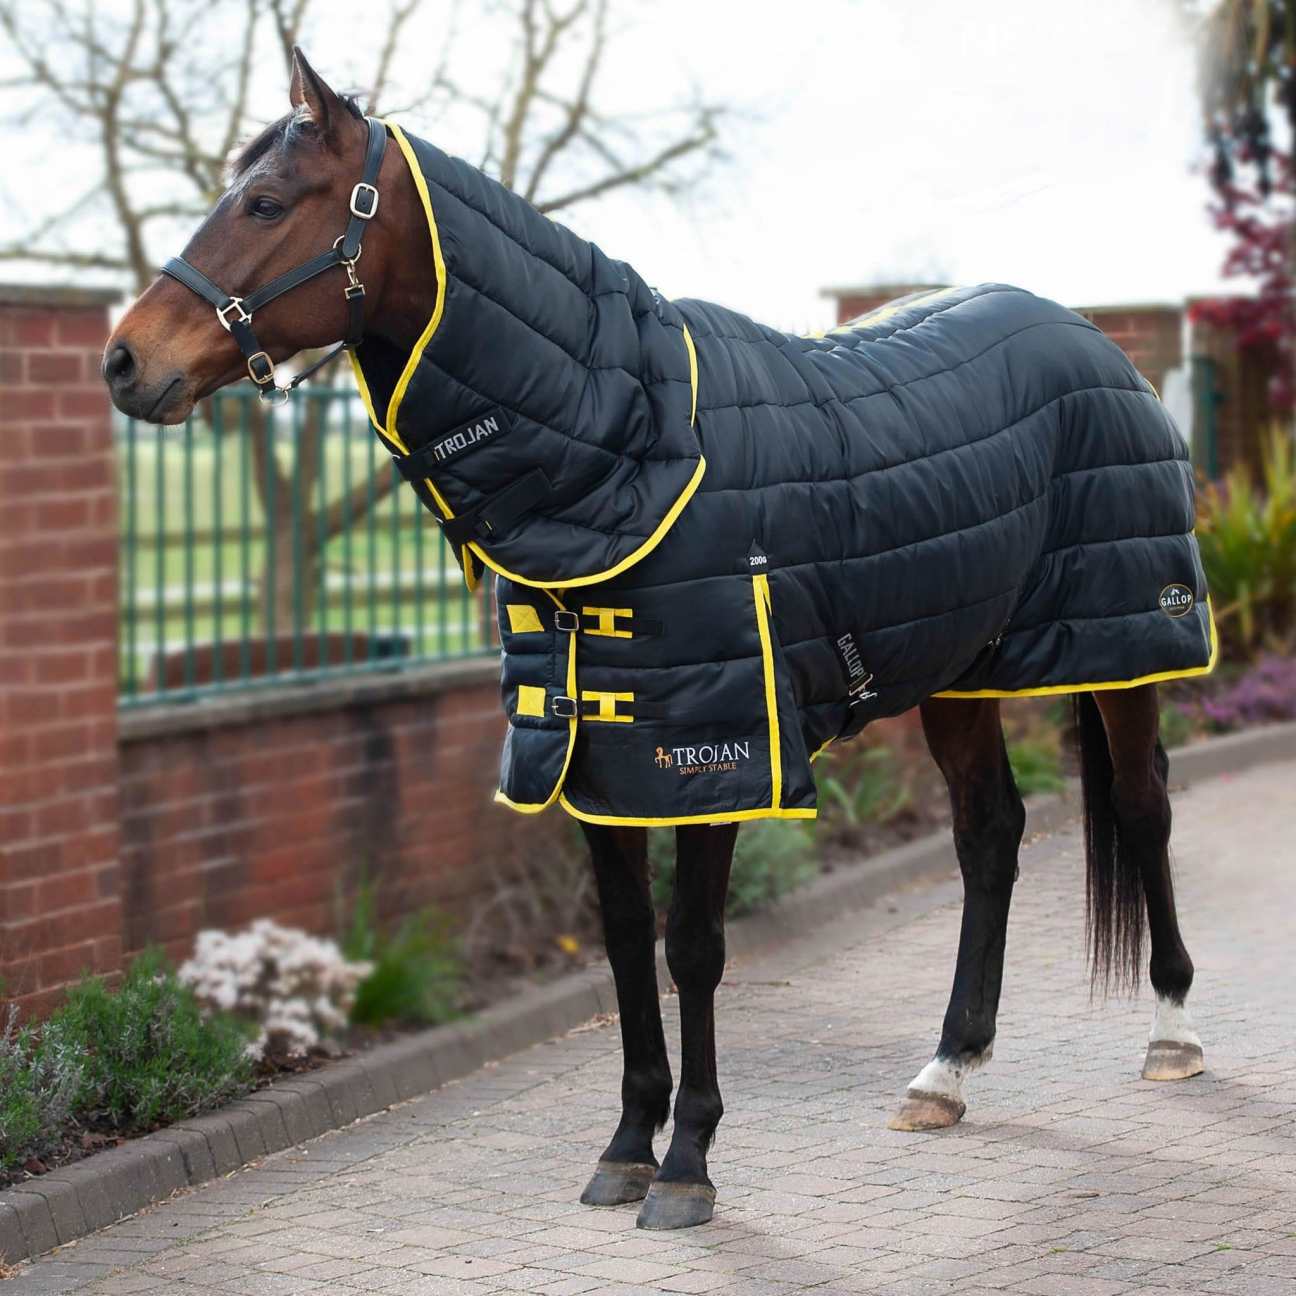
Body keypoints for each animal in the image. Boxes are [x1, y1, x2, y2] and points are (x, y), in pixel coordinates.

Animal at [103, 49, 1207, 1232]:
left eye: (265, 202)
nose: (124, 361)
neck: (631, 446)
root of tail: (1098, 340)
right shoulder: (596, 755)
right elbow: (627, 944)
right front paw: (628, 1146)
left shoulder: (716, 752)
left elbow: (694, 947)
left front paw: (688, 1166)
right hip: (958, 671)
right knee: (991, 834)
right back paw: (946, 1073)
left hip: (1129, 643)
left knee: (1143, 806)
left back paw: (1174, 1034)